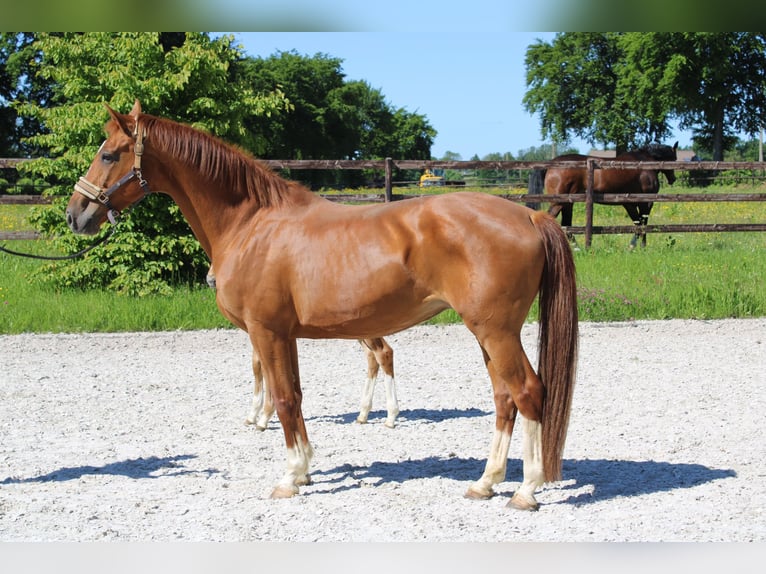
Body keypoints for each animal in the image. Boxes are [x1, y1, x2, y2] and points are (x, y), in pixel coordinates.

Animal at [207, 266, 404, 428]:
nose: (211, 279)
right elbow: (258, 367)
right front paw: (254, 414)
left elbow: (263, 369)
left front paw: (262, 416)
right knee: (372, 357)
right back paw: (363, 414)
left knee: (383, 353)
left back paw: (390, 417)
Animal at [544, 142, 680, 248]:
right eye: (674, 159)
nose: (673, 179)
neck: (645, 163)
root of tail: (552, 165)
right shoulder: (645, 202)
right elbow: (642, 223)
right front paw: (640, 246)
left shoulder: (629, 204)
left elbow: (637, 223)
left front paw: (633, 246)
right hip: (559, 203)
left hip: (567, 203)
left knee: (566, 225)